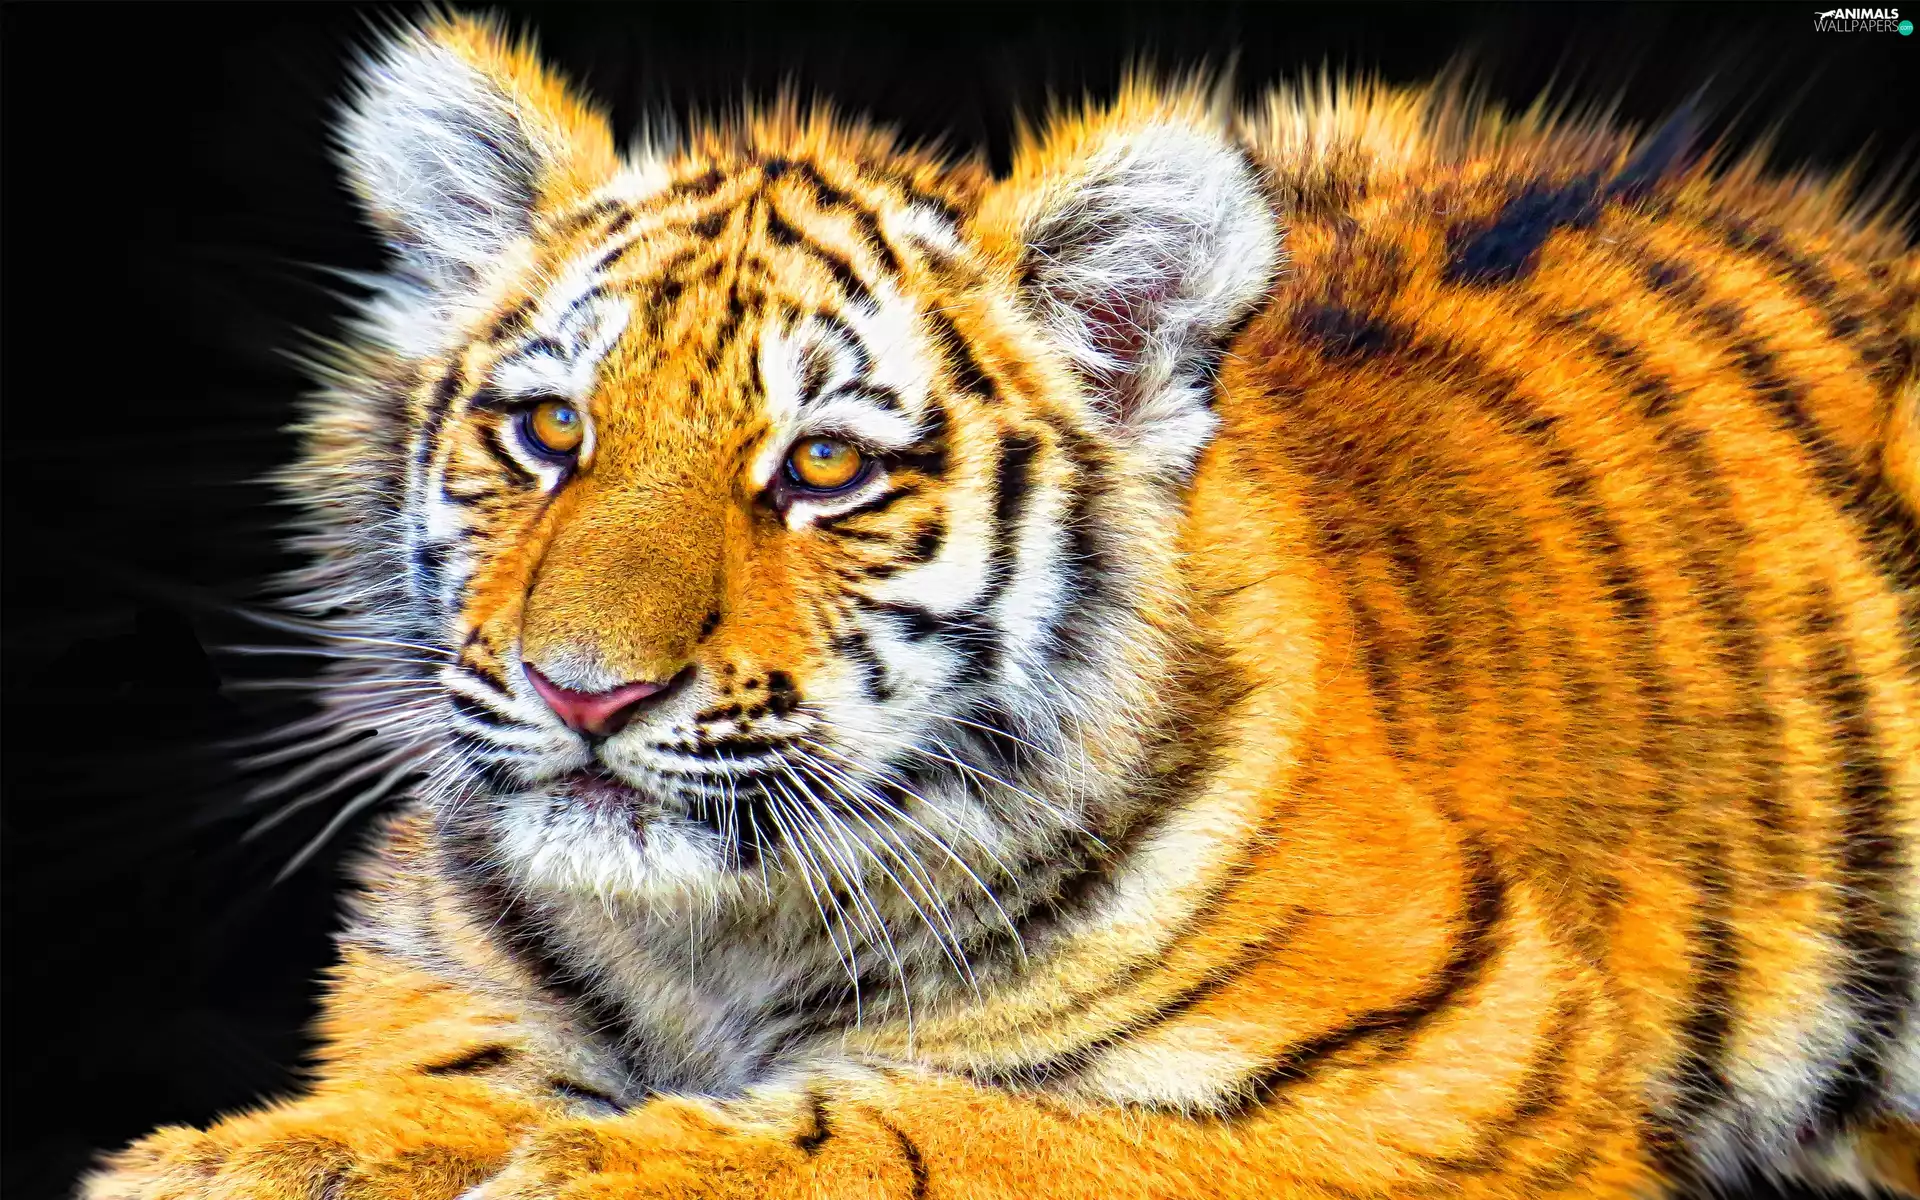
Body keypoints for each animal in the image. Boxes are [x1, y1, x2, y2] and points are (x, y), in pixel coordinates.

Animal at [80, 11, 1920, 1200]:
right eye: (547, 432)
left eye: (823, 466)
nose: (582, 693)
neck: (714, 944)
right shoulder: (445, 1001)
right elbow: (416, 1098)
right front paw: (253, 1160)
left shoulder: (1465, 1084)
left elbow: (979, 1130)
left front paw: (618, 1168)